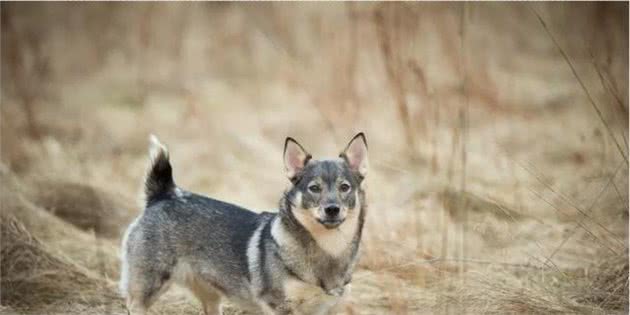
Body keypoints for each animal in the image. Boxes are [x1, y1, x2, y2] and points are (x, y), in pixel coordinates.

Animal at [119, 134, 370, 315]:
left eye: (345, 187)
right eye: (314, 188)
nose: (332, 209)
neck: (328, 250)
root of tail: (164, 195)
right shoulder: (279, 306)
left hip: (212, 299)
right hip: (146, 290)